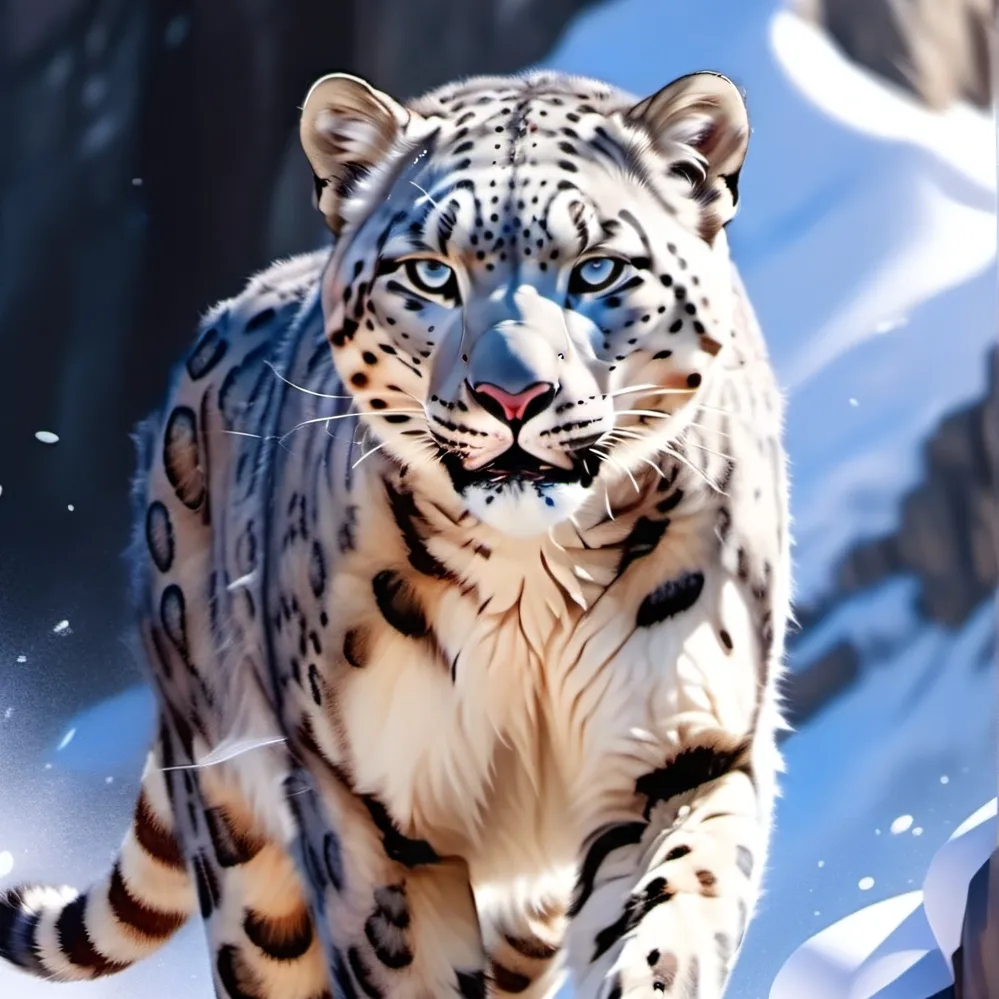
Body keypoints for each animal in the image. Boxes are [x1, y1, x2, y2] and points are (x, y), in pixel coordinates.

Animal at [0, 66, 790, 999]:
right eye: (430, 274)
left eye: (597, 269)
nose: (513, 396)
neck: (531, 586)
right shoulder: (371, 807)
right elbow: (401, 965)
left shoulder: (684, 747)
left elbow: (669, 910)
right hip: (242, 848)